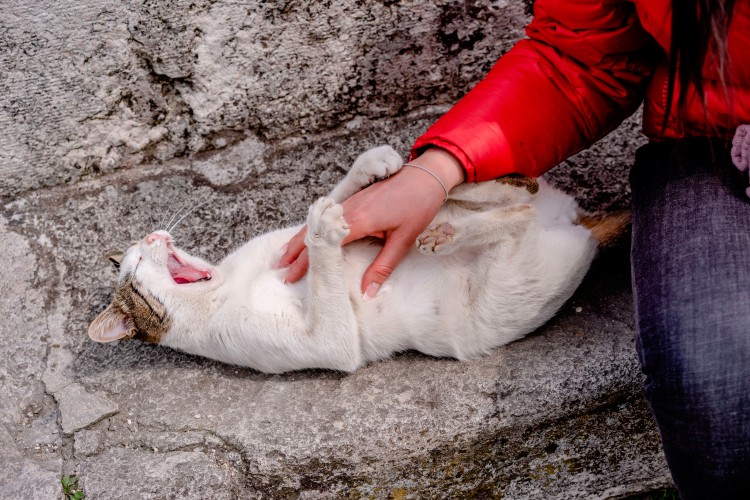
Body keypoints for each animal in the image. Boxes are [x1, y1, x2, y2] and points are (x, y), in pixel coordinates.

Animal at [88, 145, 620, 372]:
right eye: (136, 267)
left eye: (138, 254)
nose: (154, 233)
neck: (223, 284)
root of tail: (577, 223)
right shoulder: (328, 345)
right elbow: (329, 298)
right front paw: (325, 229)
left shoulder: (283, 249)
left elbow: (332, 205)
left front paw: (367, 169)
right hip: (499, 293)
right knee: (521, 216)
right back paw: (446, 234)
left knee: (518, 191)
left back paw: (442, 180)